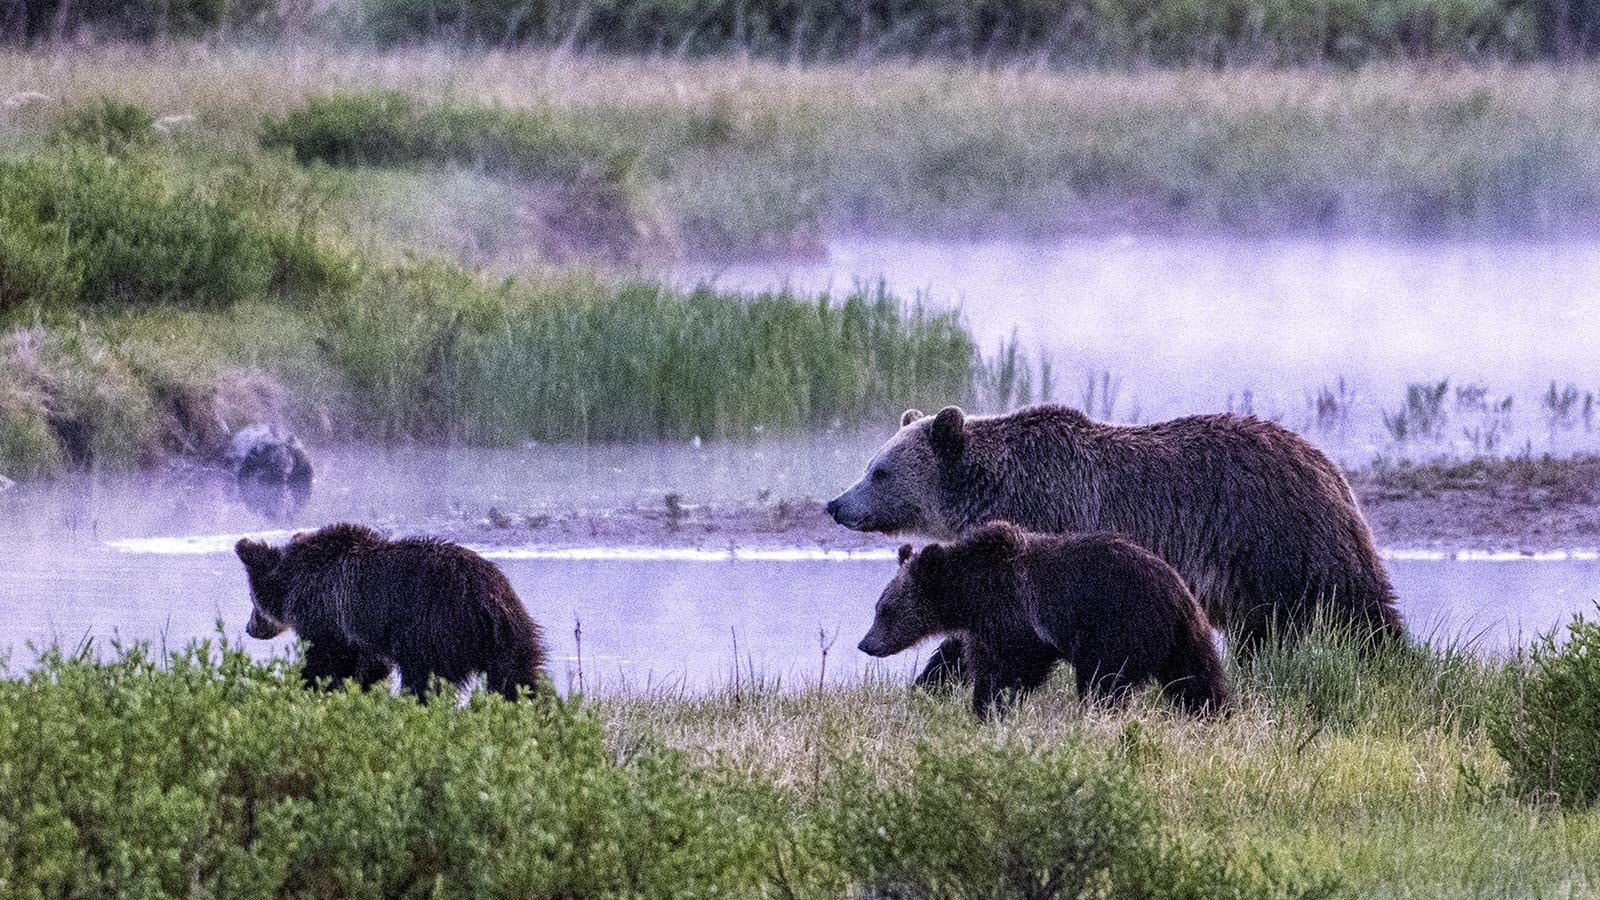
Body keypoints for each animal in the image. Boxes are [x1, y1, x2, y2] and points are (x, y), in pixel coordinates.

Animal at [235, 523, 547, 700]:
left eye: (251, 598)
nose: (250, 628)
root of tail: (488, 601)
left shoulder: (330, 611)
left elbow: (327, 660)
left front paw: (306, 684)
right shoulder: (358, 626)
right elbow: (367, 664)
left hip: (433, 626)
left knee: (425, 678)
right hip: (513, 635)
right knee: (517, 678)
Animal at [829, 404, 1404, 685]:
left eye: (879, 471)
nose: (836, 504)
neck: (994, 489)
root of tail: (1327, 465)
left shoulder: (1048, 525)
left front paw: (935, 676)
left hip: (1277, 540)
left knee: (1355, 608)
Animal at [858, 522, 1231, 718]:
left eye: (885, 610)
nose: (865, 644)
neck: (970, 593)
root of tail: (1178, 594)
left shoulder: (1014, 614)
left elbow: (1008, 668)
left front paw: (992, 706)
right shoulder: (984, 625)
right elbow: (969, 659)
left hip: (1121, 627)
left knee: (1103, 681)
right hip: (1184, 638)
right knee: (1197, 677)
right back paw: (1212, 713)